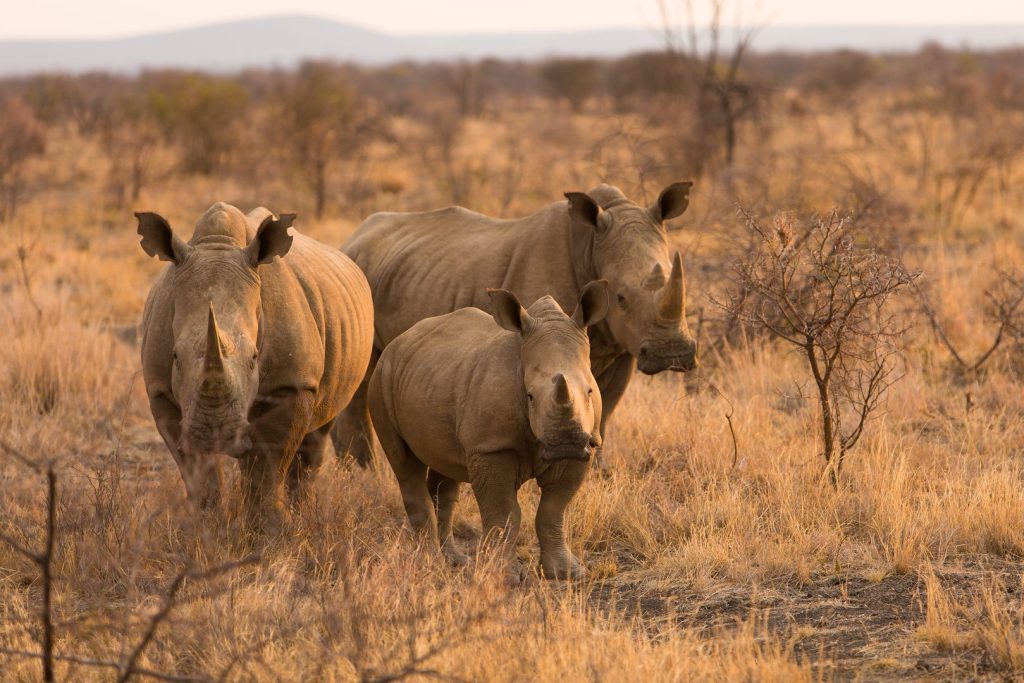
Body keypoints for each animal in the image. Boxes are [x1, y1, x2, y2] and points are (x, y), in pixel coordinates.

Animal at [137, 202, 374, 532]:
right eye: (175, 357)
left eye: (254, 358)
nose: (215, 434)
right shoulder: (161, 391)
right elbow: (196, 470)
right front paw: (205, 528)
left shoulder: (292, 383)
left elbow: (268, 463)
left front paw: (267, 530)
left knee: (317, 432)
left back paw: (303, 513)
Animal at [335, 182, 698, 465]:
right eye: (620, 298)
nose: (673, 354)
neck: (589, 246)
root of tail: (353, 237)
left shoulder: (623, 347)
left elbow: (603, 409)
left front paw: (598, 471)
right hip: (357, 278)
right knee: (362, 373)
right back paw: (361, 468)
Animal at [368, 281, 609, 580]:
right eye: (529, 396)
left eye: (590, 391)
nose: (565, 443)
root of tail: (398, 340)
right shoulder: (491, 447)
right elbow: (504, 513)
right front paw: (504, 576)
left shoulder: (586, 444)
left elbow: (554, 510)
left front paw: (567, 573)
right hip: (382, 378)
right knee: (405, 465)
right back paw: (429, 564)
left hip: (433, 377)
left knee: (446, 474)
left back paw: (455, 560)